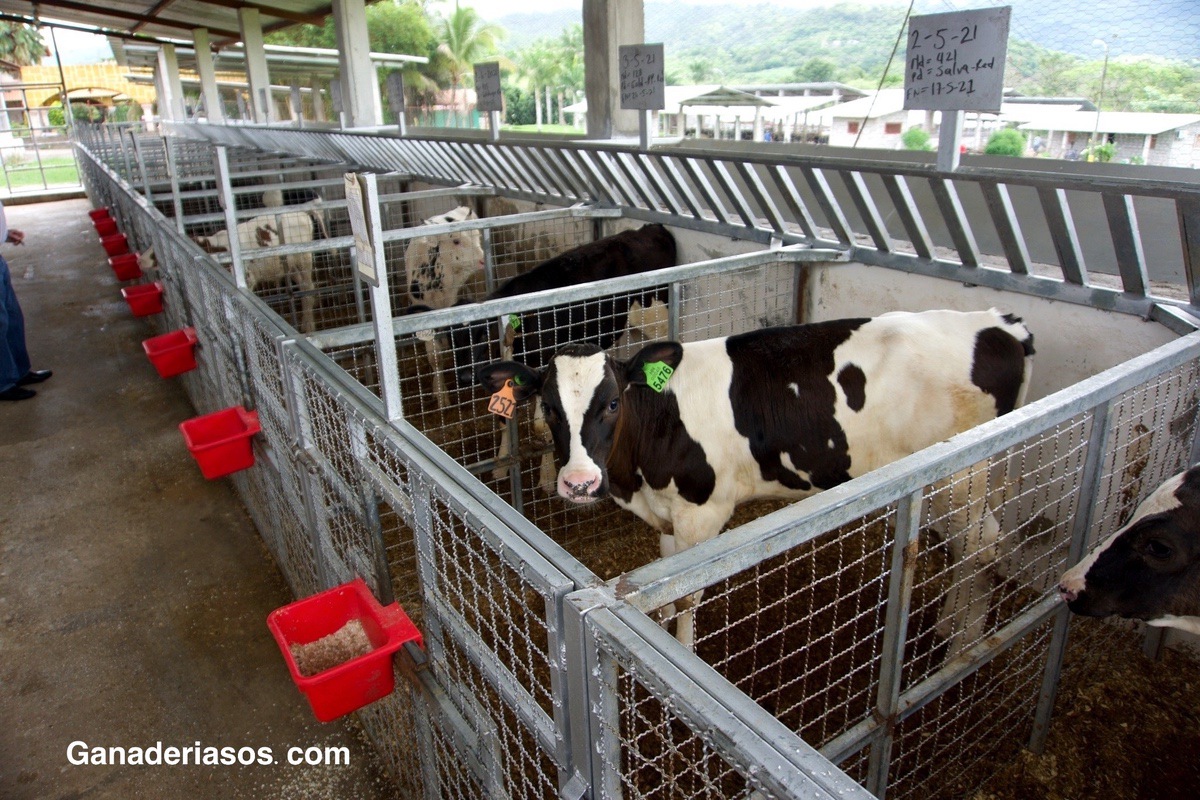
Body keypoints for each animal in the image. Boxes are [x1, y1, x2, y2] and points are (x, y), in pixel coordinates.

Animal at [482, 309, 1036, 652]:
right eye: (548, 407)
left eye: (613, 402)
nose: (577, 482)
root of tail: (997, 323)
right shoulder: (670, 512)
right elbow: (664, 583)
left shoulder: (703, 510)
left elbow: (687, 592)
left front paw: (681, 651)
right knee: (976, 544)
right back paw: (952, 626)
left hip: (961, 473)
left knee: (983, 544)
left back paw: (962, 639)